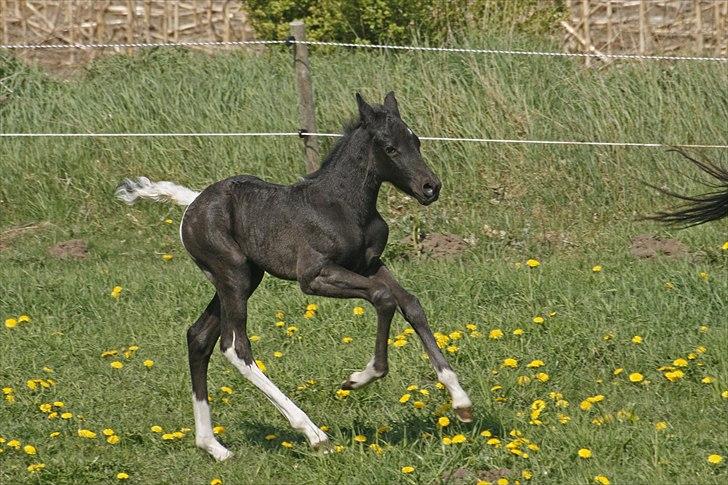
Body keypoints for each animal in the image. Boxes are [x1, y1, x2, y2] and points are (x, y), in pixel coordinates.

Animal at [115, 92, 472, 460]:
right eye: (390, 148)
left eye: (416, 141)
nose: (430, 187)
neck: (343, 206)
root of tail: (192, 203)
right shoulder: (314, 277)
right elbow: (383, 298)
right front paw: (358, 378)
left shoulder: (370, 265)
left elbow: (410, 303)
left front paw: (461, 401)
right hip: (234, 277)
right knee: (235, 347)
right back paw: (313, 433)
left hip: (242, 279)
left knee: (199, 338)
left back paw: (214, 446)